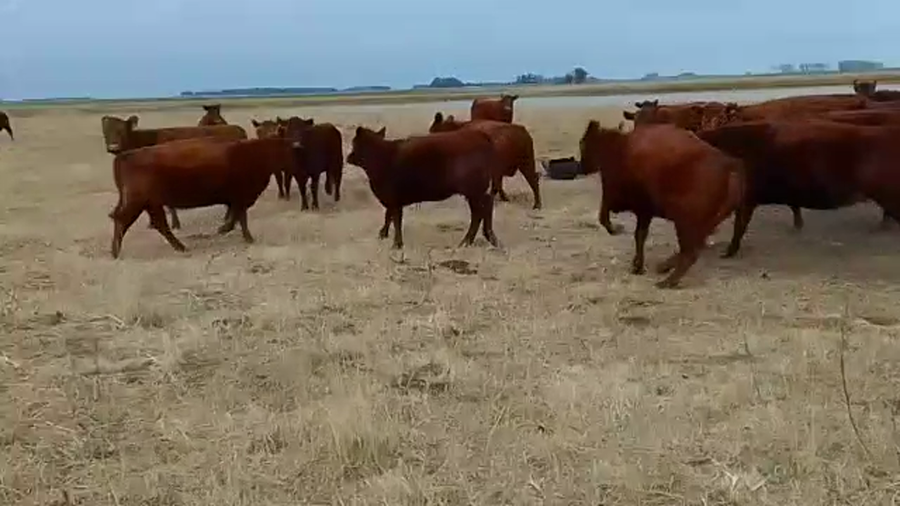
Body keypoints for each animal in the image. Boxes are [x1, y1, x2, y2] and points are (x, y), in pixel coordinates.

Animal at [108, 136, 296, 258]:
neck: (254, 153)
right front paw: (246, 237)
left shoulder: (237, 199)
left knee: (150, 222)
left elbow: (236, 216)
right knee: (125, 219)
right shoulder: (240, 197)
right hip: (140, 202)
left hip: (149, 204)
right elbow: (241, 217)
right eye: (289, 150)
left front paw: (225, 229)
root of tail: (125, 155)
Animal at [346, 125, 501, 249]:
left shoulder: (394, 199)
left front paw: (397, 244)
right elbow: (388, 216)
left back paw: (468, 241)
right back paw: (487, 238)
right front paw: (383, 234)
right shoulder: (392, 200)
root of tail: (480, 135)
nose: (348, 157)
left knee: (479, 213)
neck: (382, 157)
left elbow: (395, 219)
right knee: (485, 207)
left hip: (474, 191)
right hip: (476, 192)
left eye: (355, 143)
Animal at [579, 121, 745, 288]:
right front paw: (637, 265)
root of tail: (729, 166)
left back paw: (667, 281)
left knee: (691, 252)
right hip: (703, 222)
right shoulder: (644, 211)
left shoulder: (635, 206)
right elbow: (639, 234)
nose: (583, 167)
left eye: (583, 144)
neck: (620, 147)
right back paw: (664, 267)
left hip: (684, 222)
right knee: (695, 246)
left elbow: (611, 220)